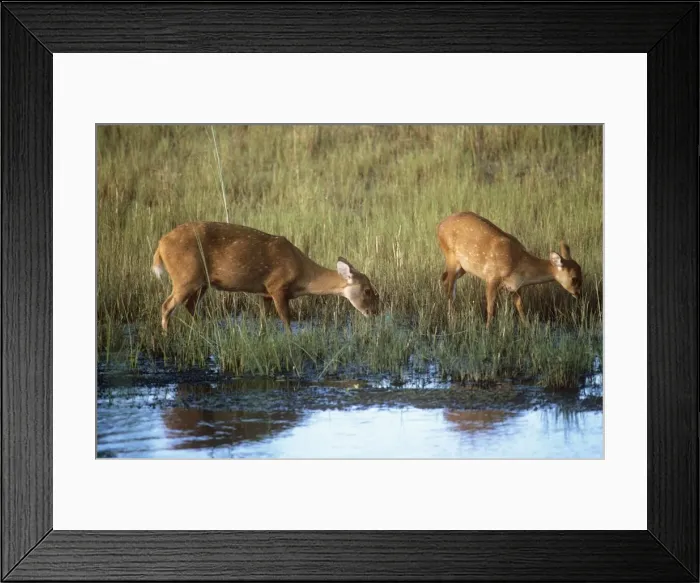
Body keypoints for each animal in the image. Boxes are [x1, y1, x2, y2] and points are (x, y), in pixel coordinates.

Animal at [152, 221, 380, 332]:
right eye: (368, 290)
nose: (374, 313)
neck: (302, 274)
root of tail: (160, 245)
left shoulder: (265, 294)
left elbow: (263, 321)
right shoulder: (276, 286)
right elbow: (286, 320)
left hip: (201, 282)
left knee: (189, 305)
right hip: (185, 276)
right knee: (166, 305)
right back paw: (166, 336)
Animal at [437, 211, 582, 327]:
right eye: (574, 278)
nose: (578, 294)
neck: (519, 264)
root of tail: (439, 226)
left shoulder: (515, 287)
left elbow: (520, 306)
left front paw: (527, 327)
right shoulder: (492, 277)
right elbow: (490, 307)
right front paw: (487, 330)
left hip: (463, 267)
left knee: (444, 279)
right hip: (451, 258)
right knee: (450, 287)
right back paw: (452, 319)